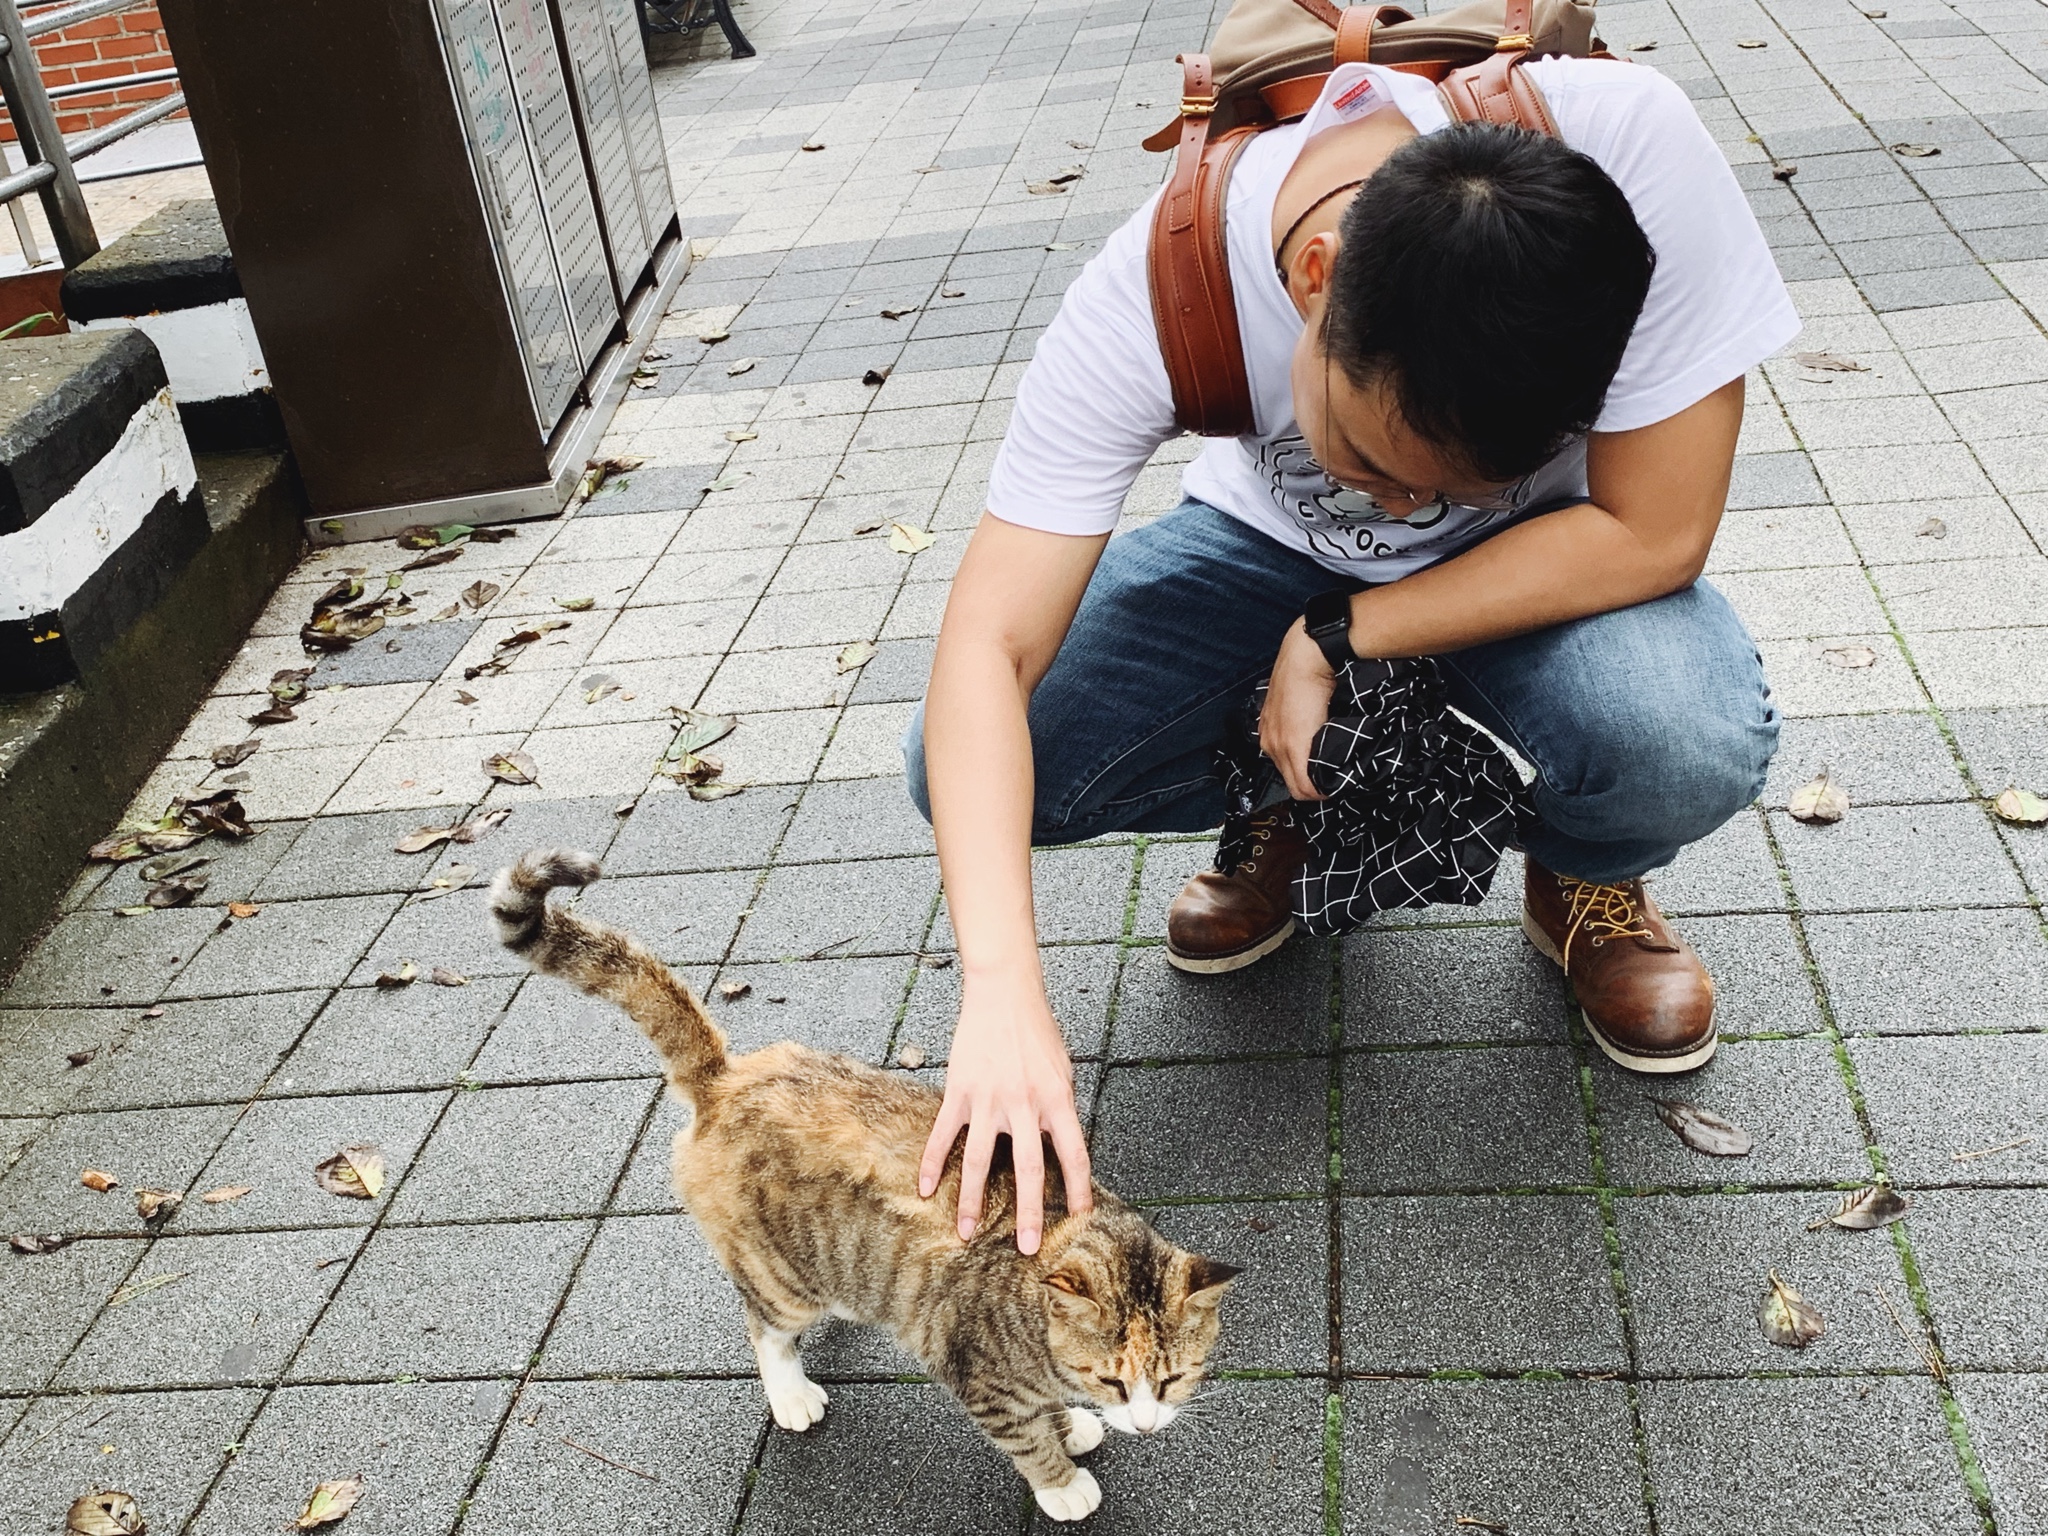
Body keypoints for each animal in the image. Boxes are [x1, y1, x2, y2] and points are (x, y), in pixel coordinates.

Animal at [487, 856, 1236, 1531]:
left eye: (1171, 1380)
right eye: (1114, 1380)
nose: (1145, 1424)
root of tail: (728, 1078)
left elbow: (1048, 1407)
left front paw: (1071, 1423)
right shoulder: (980, 1375)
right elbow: (1025, 1439)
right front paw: (1062, 1479)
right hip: (780, 1275)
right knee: (764, 1326)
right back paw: (790, 1391)